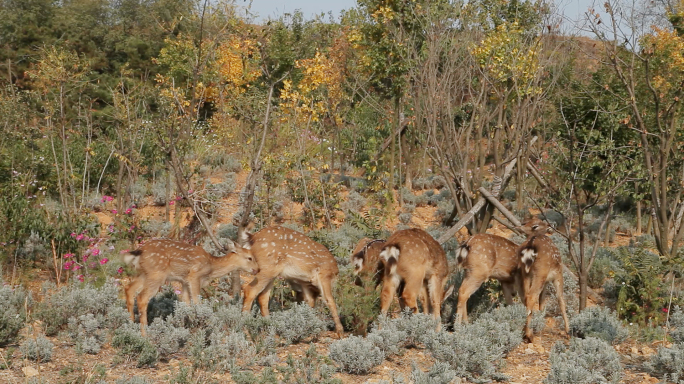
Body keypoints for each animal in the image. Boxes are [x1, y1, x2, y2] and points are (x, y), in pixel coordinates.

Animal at [123, 240, 260, 332]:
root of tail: (139, 252)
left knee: (129, 289)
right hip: (156, 274)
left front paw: (188, 325)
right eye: (250, 258)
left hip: (143, 274)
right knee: (142, 297)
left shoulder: (184, 281)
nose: (257, 269)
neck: (211, 266)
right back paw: (145, 333)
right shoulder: (194, 275)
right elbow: (197, 302)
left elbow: (186, 303)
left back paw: (130, 323)